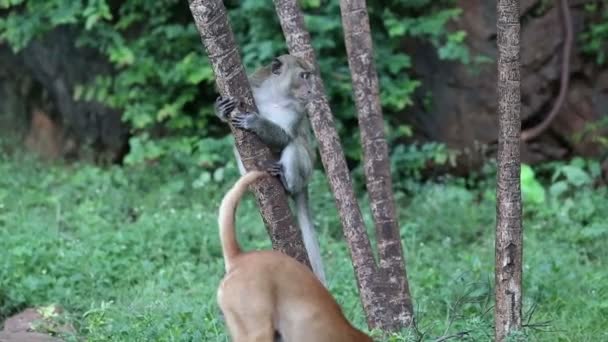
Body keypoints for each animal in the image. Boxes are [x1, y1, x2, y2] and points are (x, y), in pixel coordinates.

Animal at [215, 54, 328, 284]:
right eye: (303, 76)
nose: (311, 91)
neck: (276, 95)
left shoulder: (298, 109)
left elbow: (285, 136)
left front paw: (255, 122)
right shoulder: (254, 84)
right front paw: (221, 109)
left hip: (306, 171)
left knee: (294, 145)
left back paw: (287, 184)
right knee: (237, 146)